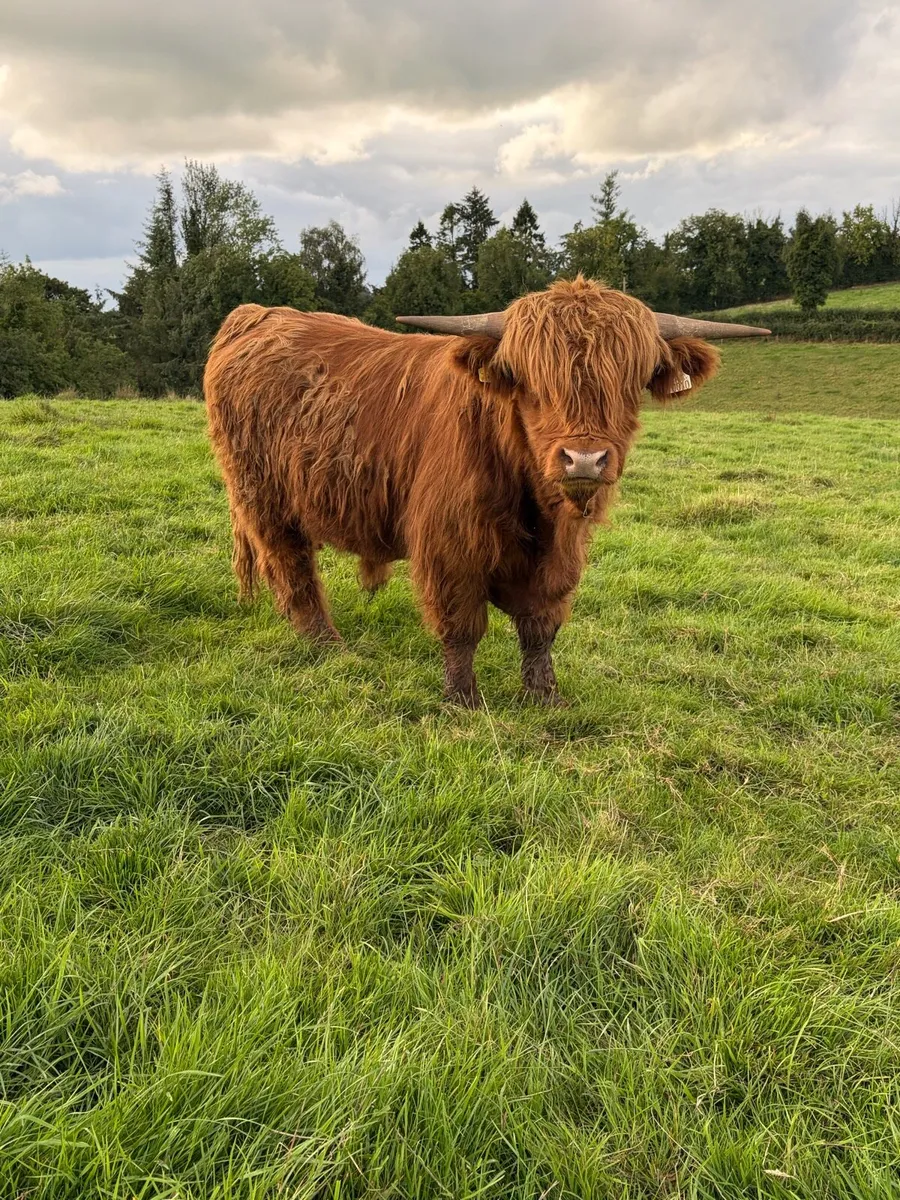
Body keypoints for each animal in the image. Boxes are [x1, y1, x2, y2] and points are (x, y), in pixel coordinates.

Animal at [204, 277, 769, 706]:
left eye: (631, 382)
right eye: (531, 382)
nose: (584, 459)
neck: (536, 509)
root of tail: (258, 314)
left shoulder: (562, 557)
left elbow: (541, 628)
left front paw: (545, 697)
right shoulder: (449, 546)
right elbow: (462, 626)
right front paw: (463, 700)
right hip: (263, 497)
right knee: (292, 568)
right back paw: (328, 646)